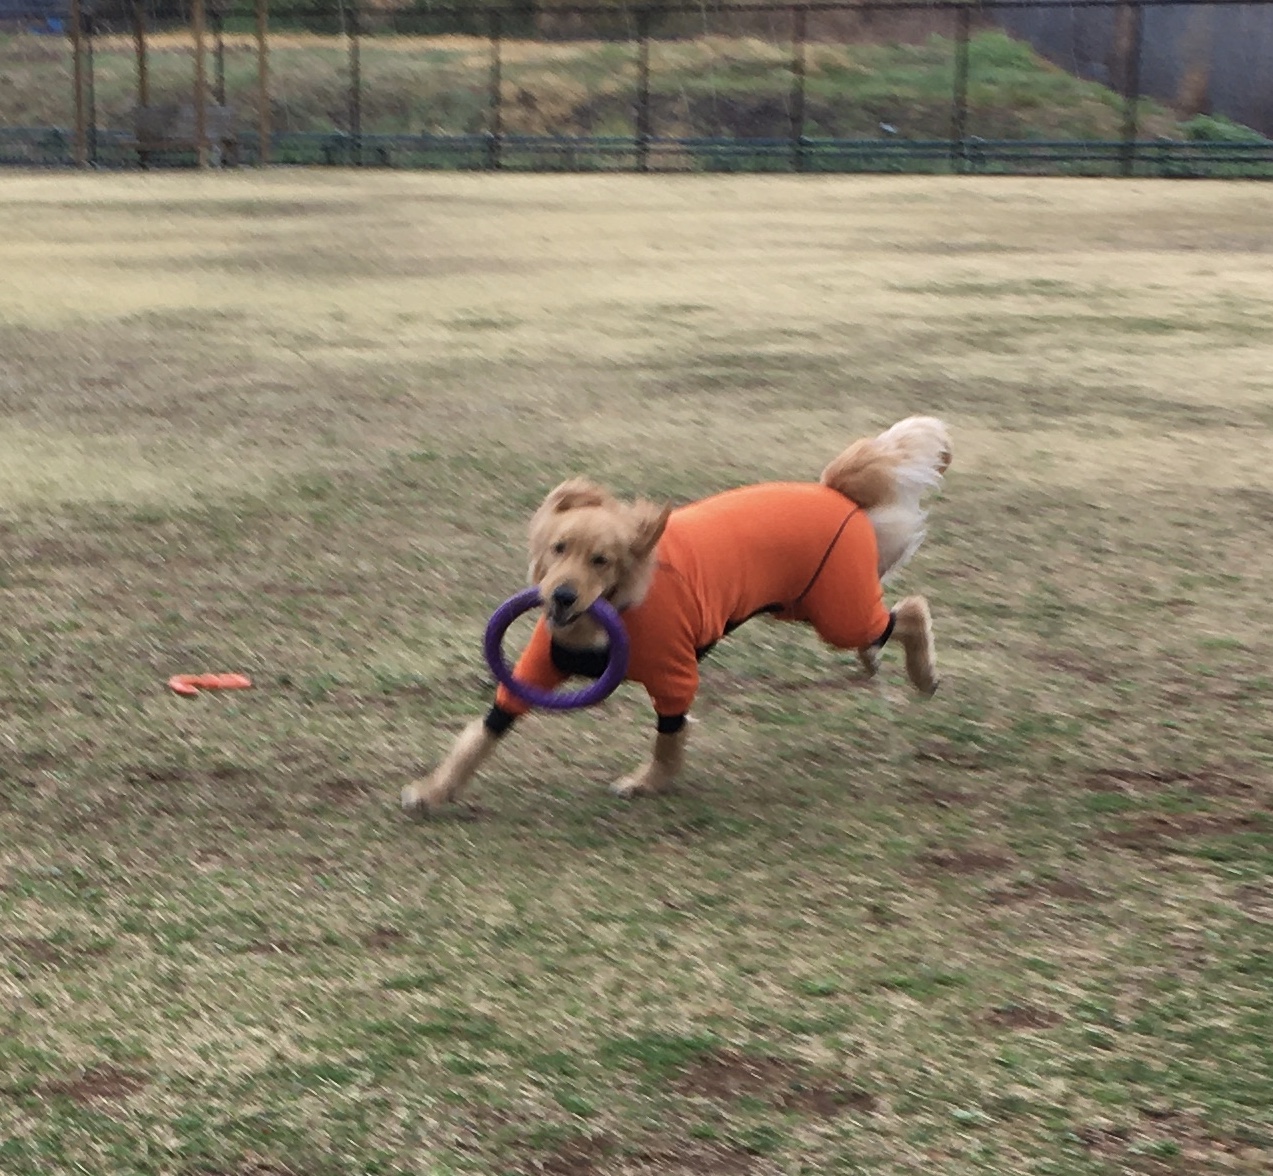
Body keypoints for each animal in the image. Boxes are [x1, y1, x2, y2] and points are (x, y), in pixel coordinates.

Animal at [401, 416, 951, 813]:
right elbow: (479, 737)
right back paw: (872, 661)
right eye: (559, 548)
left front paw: (648, 783)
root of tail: (834, 488)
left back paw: (923, 676)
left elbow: (669, 738)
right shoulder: (533, 672)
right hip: (807, 606)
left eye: (601, 560)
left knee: (909, 611)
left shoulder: (675, 675)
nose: (561, 596)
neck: (610, 613)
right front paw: (433, 790)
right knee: (882, 625)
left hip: (834, 609)